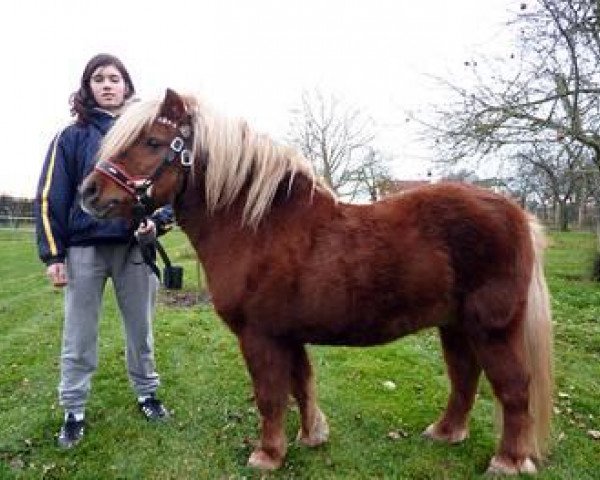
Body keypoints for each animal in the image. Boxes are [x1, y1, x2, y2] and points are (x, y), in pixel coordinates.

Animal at [81, 88, 552, 474]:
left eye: (153, 142)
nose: (89, 193)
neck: (257, 225)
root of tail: (516, 213)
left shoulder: (260, 336)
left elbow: (271, 395)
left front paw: (268, 454)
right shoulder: (286, 334)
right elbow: (300, 385)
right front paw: (311, 437)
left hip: (492, 327)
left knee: (514, 388)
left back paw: (508, 461)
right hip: (454, 326)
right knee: (464, 377)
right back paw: (446, 432)